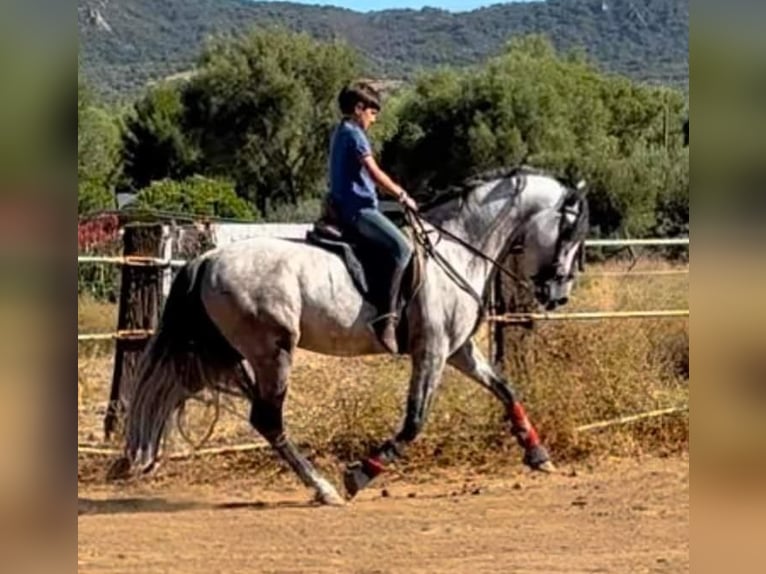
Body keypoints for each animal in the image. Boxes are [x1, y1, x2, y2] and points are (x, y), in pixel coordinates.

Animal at [117, 168, 592, 508]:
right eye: (569, 235)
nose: (558, 295)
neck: (457, 249)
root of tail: (208, 258)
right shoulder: (432, 351)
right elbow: (414, 421)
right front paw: (361, 473)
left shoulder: (458, 350)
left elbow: (506, 390)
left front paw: (537, 454)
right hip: (273, 352)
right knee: (268, 420)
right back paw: (325, 488)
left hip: (230, 353)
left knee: (200, 399)